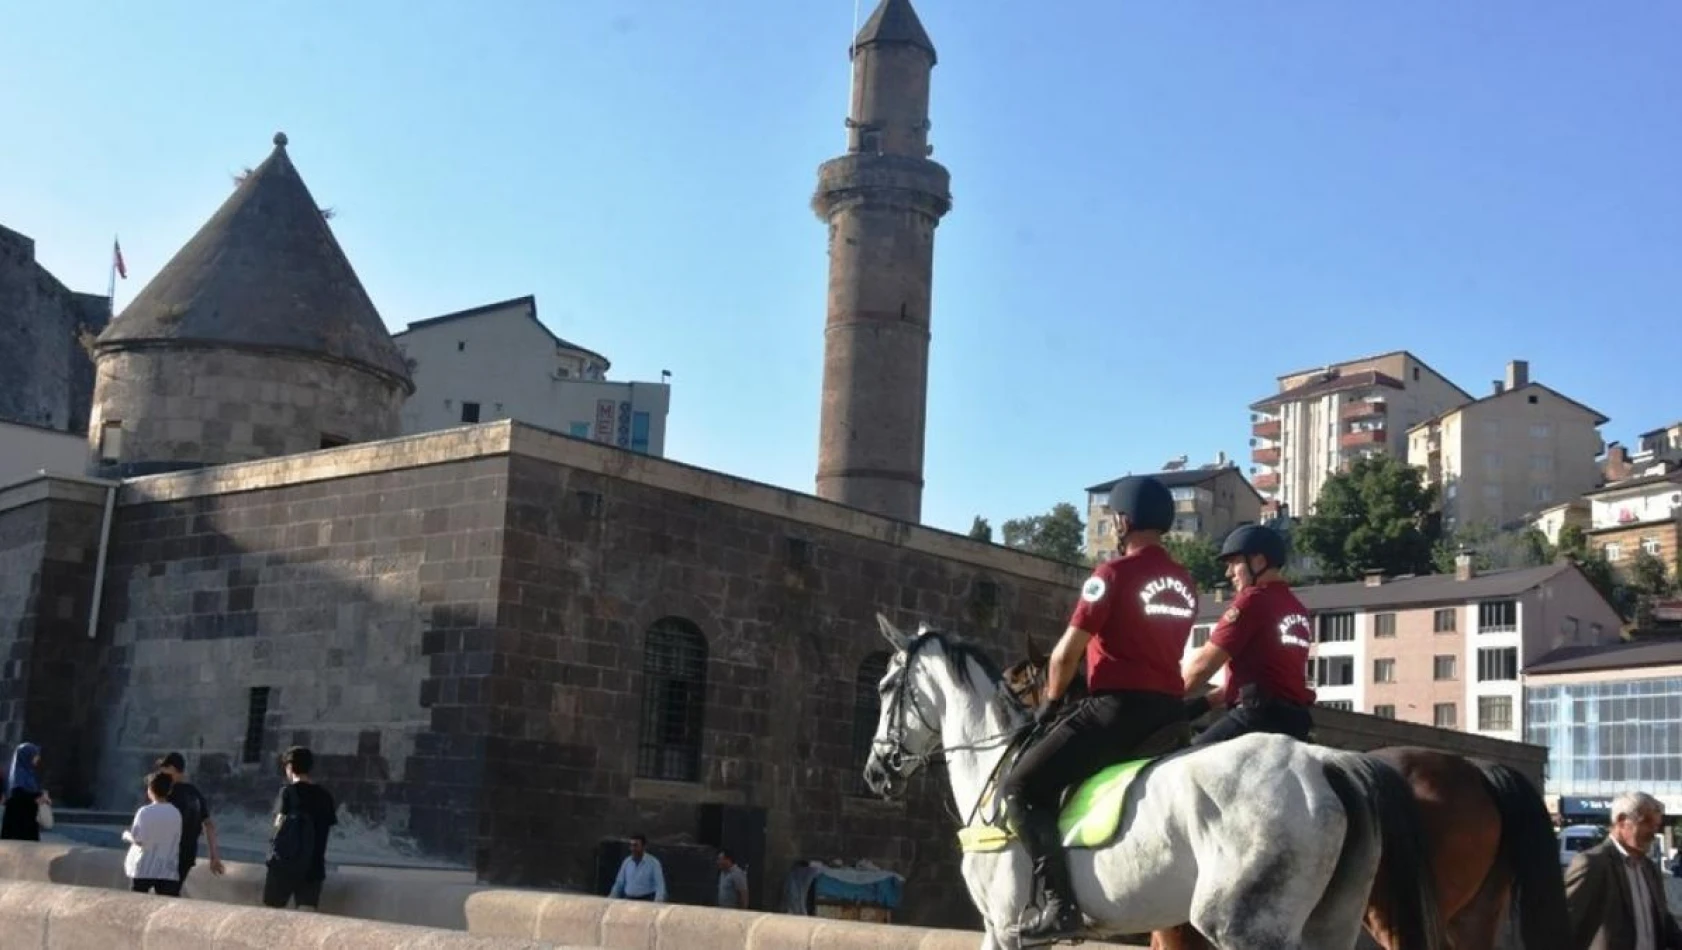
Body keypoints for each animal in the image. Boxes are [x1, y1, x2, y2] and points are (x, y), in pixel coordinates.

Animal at [861, 615, 1453, 948]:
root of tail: (1324, 762)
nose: (875, 771)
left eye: (887, 686)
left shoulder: (1004, 929)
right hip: (1329, 923)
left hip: (1243, 924)